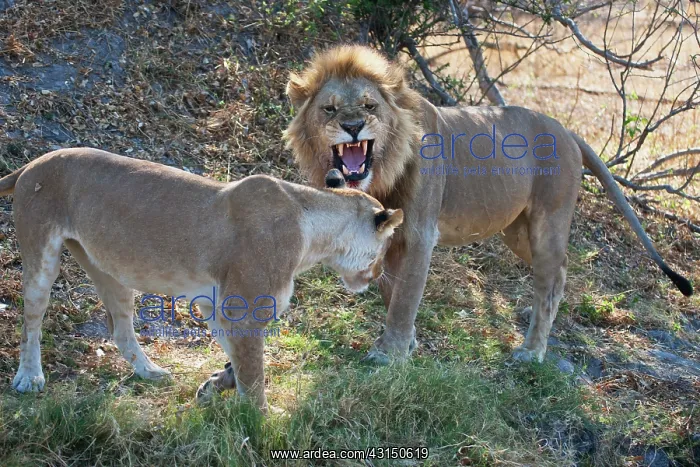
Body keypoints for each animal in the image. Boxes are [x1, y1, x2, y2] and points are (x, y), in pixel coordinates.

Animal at [0, 150, 403, 412]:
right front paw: (259, 420)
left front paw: (216, 386)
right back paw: (28, 378)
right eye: (385, 248)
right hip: (41, 256)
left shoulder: (218, 304)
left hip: (109, 269)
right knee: (31, 321)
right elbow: (253, 371)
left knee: (119, 329)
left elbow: (240, 360)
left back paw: (150, 372)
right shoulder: (244, 308)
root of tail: (32, 164)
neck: (315, 233)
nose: (379, 274)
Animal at [283, 45, 693, 365]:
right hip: (517, 232)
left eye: (369, 106)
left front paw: (390, 354)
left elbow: (404, 296)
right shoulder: (388, 234)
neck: (382, 172)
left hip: (548, 221)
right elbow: (390, 290)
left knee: (550, 277)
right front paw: (408, 342)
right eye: (329, 109)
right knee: (558, 272)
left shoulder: (420, 235)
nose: (353, 126)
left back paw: (532, 351)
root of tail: (566, 130)